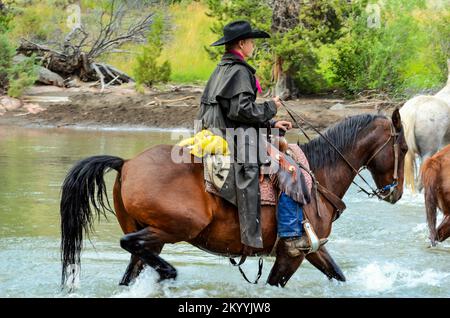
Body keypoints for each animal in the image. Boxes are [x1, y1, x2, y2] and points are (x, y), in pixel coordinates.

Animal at [59, 109, 408, 288]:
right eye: (403, 148)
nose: (396, 192)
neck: (318, 175)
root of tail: (126, 163)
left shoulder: (313, 249)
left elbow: (337, 273)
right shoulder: (292, 253)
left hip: (152, 237)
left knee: (132, 264)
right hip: (174, 229)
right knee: (129, 244)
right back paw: (170, 273)